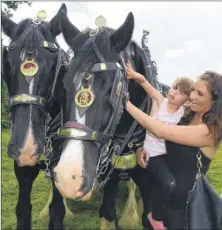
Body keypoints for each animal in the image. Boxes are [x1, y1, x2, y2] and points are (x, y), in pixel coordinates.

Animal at [1, 3, 68, 230]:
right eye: (7, 60)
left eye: (55, 61)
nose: (27, 147)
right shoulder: (22, 167)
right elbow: (23, 210)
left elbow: (57, 210)